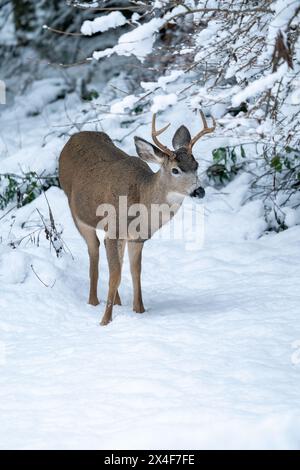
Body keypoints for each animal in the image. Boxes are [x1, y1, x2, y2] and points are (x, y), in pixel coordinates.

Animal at [58, 110, 216, 324]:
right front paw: (105, 321)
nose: (199, 191)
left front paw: (139, 310)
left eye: (196, 165)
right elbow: (115, 275)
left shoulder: (138, 238)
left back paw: (116, 302)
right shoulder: (114, 229)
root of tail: (74, 137)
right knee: (94, 251)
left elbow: (135, 272)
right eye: (175, 170)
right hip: (77, 213)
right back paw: (93, 302)